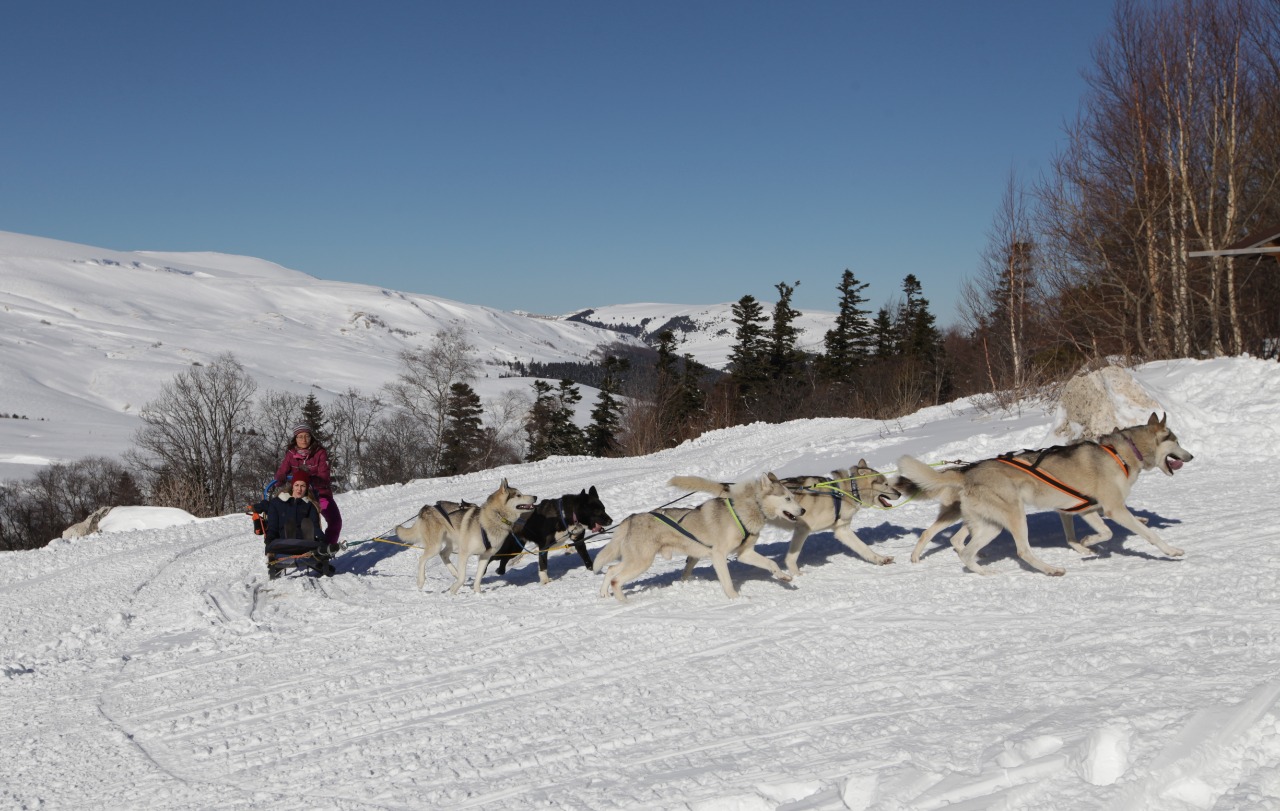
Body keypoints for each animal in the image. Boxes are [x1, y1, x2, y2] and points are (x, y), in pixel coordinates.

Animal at [404, 475, 535, 590]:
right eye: (518, 495)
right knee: (422, 559)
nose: (535, 497)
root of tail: (426, 508)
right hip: (436, 546)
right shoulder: (464, 553)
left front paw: (478, 593)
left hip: (453, 544)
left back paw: (454, 572)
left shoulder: (485, 556)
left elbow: (478, 579)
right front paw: (453, 590)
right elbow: (463, 578)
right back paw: (421, 581)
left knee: (443, 554)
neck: (495, 517)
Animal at [588, 470, 798, 596]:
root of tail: (630, 518)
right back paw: (621, 599)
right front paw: (736, 599)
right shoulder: (718, 555)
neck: (745, 510)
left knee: (611, 569)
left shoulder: (745, 553)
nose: (802, 510)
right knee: (616, 578)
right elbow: (727, 582)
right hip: (641, 562)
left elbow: (771, 563)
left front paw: (783, 577)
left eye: (793, 497)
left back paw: (604, 593)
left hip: (634, 560)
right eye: (788, 498)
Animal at [675, 457, 896, 570]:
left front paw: (880, 559)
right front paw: (796, 574)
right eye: (886, 483)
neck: (843, 492)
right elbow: (792, 557)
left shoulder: (842, 530)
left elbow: (864, 548)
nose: (899, 492)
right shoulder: (803, 528)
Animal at [901, 409, 1187, 575]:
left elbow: (1099, 533)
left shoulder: (1083, 510)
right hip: (1014, 516)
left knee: (964, 550)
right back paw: (1050, 570)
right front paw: (1171, 550)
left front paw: (1087, 544)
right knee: (1022, 551)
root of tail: (969, 473)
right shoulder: (1113, 508)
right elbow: (1147, 534)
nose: (1191, 456)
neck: (1122, 453)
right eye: (1176, 440)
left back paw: (983, 571)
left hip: (990, 526)